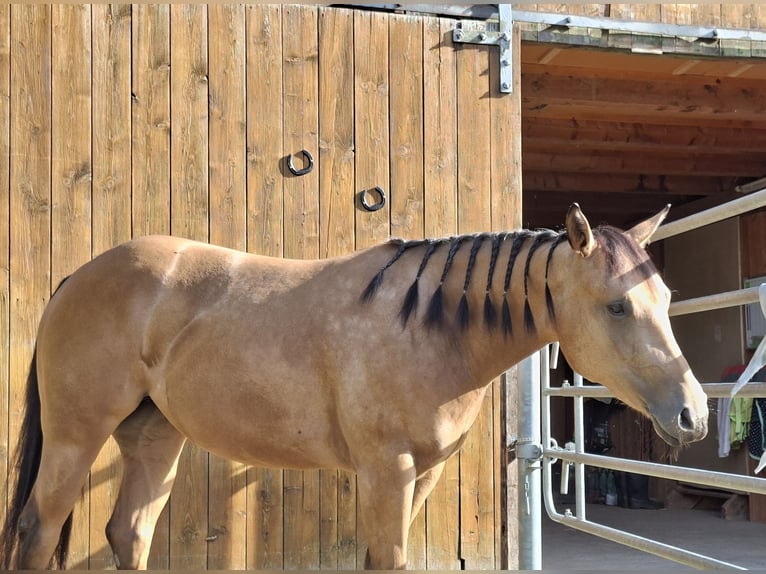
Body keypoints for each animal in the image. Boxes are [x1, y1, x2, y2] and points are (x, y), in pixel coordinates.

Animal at [0, 204, 708, 570]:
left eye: (667, 297)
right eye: (617, 306)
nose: (693, 414)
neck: (428, 327)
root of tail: (76, 277)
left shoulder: (423, 474)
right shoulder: (387, 471)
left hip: (154, 437)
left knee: (129, 533)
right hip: (75, 438)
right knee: (38, 530)